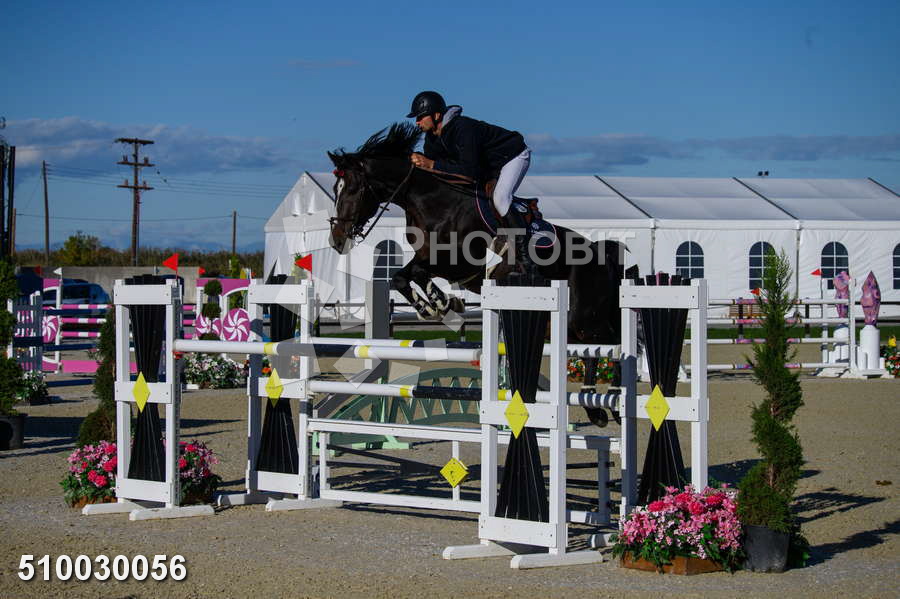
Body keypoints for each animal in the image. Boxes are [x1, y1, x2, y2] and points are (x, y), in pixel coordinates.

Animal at [326, 122, 628, 347]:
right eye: (334, 188)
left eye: (352, 189)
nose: (337, 240)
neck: (430, 201)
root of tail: (602, 256)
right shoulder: (427, 256)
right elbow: (400, 276)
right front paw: (430, 307)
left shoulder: (460, 264)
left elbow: (418, 274)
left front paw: (442, 302)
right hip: (567, 327)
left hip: (587, 323)